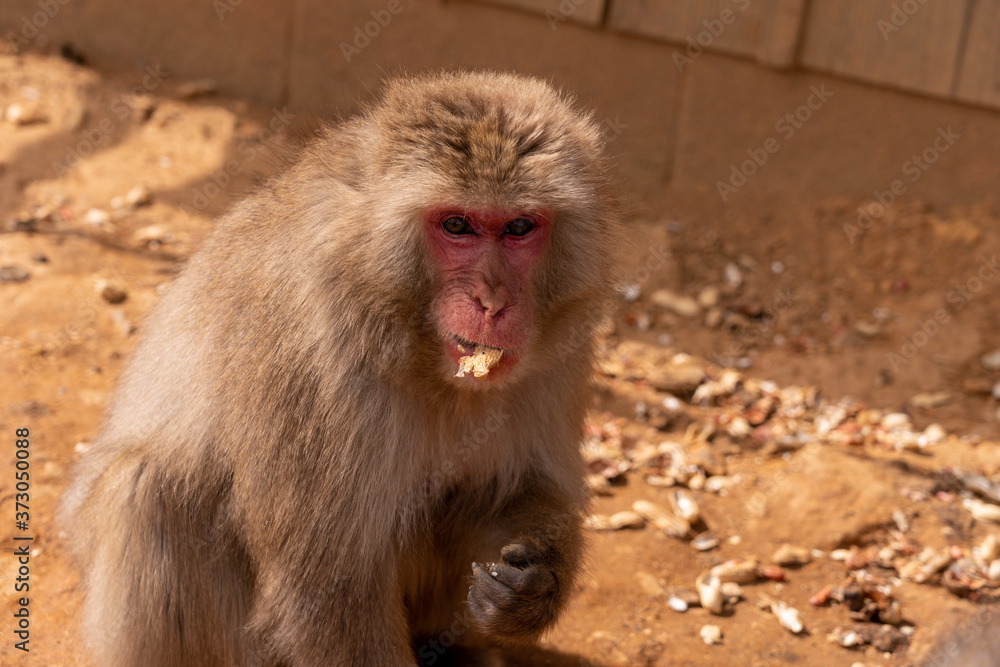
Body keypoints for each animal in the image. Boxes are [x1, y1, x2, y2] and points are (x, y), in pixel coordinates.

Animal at [61, 71, 621, 666]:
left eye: (518, 227)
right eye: (457, 225)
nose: (493, 302)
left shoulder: (561, 351)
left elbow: (510, 490)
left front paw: (532, 587)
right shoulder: (313, 361)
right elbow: (327, 588)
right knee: (148, 493)